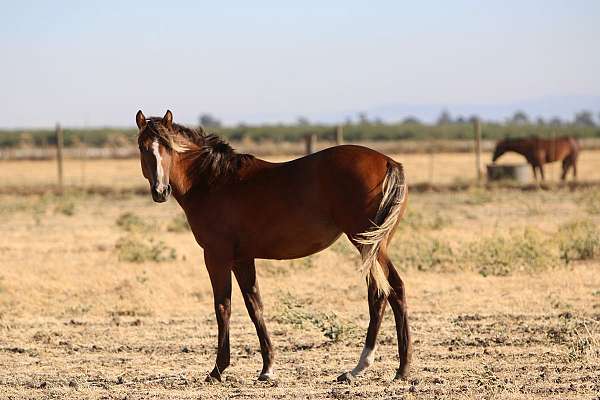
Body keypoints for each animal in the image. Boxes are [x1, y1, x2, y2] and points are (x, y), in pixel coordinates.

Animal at [134, 110, 410, 384]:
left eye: (168, 147)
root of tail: (388, 162)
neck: (212, 181)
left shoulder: (216, 257)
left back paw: (395, 368)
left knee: (392, 289)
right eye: (142, 147)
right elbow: (255, 306)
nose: (161, 191)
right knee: (380, 293)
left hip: (368, 244)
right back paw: (365, 368)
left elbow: (223, 306)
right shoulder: (242, 259)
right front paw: (267, 368)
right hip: (372, 246)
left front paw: (218, 370)